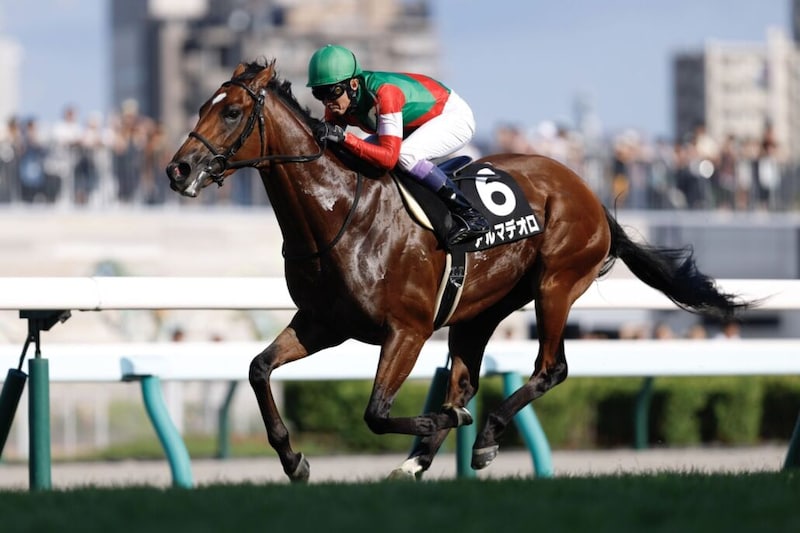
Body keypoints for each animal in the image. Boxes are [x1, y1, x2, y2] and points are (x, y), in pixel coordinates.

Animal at [166, 59, 750, 482]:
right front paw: (294, 460)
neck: (340, 213)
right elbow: (258, 369)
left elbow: (376, 411)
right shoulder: (322, 324)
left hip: (557, 284)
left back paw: (482, 436)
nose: (178, 169)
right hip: (479, 311)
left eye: (232, 112)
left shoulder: (406, 329)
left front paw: (437, 424)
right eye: (200, 107)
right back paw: (419, 459)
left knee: (550, 369)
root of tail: (588, 191)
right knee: (465, 384)